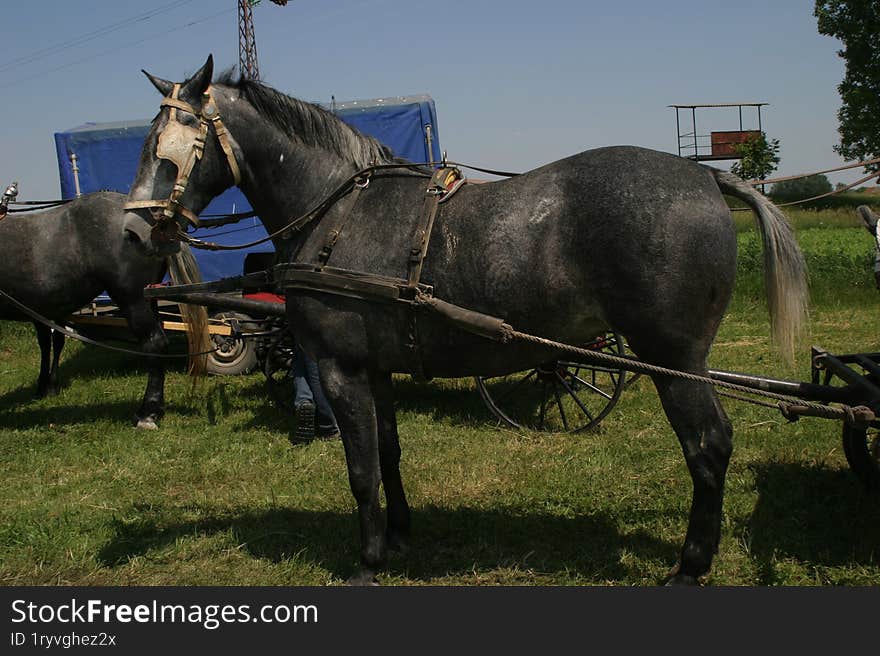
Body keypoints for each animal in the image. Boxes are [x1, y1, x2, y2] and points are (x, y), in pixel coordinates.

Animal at [120, 57, 808, 584]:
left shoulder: (341, 371)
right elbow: (389, 454)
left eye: (166, 151)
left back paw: (690, 567)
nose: (131, 235)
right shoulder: (375, 371)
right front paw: (398, 537)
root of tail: (704, 177)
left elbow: (361, 470)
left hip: (673, 360)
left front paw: (367, 562)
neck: (342, 213)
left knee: (709, 446)